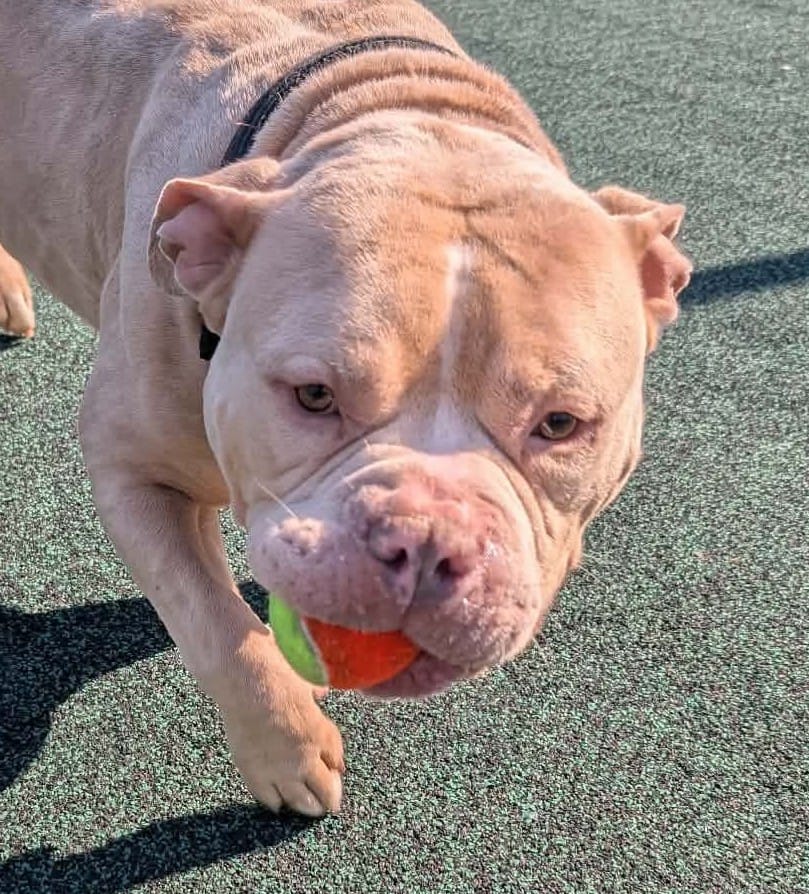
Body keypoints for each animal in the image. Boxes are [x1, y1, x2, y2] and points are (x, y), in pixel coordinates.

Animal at [0, 1, 691, 816]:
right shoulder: (131, 470)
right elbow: (214, 624)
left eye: (560, 424)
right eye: (313, 395)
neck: (374, 102)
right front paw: (288, 751)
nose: (425, 542)